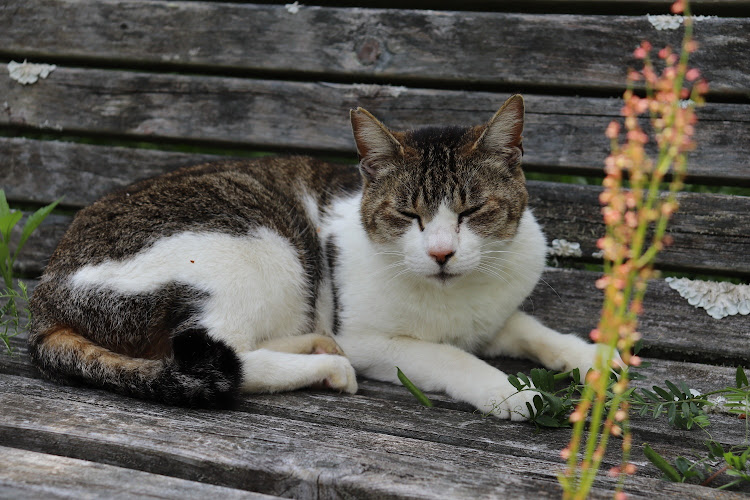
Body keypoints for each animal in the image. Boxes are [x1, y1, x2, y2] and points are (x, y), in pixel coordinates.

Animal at [29, 94, 604, 418]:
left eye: (472, 210)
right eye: (407, 214)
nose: (442, 253)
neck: (456, 300)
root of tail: (47, 295)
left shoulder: (494, 316)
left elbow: (527, 326)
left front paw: (592, 356)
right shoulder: (370, 338)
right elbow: (449, 356)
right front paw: (506, 390)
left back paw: (313, 344)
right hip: (258, 248)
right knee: (214, 355)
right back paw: (326, 364)